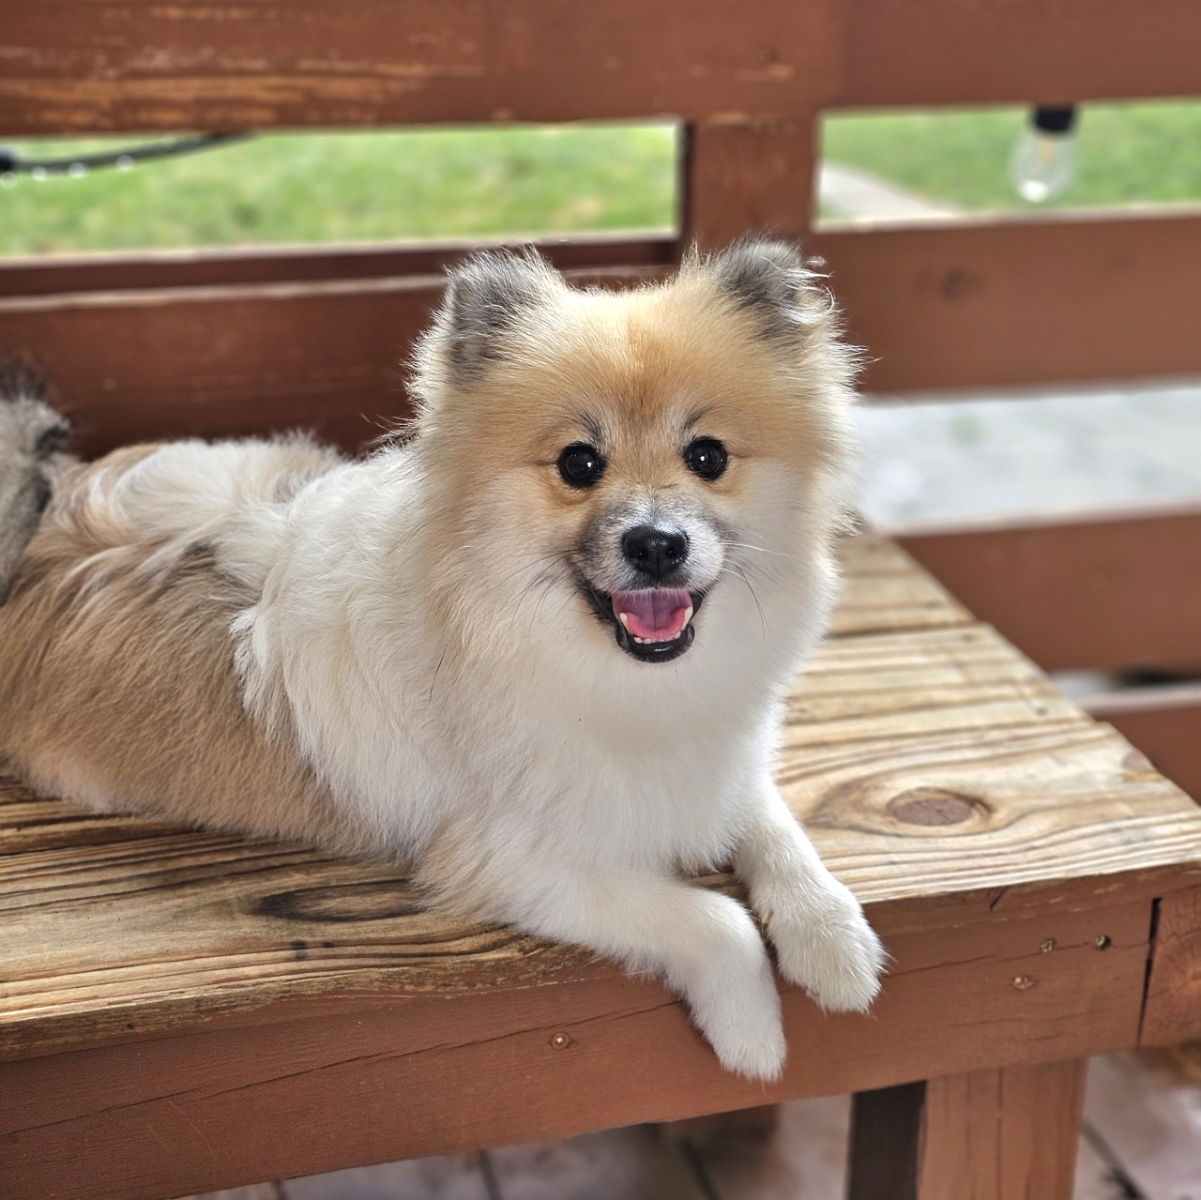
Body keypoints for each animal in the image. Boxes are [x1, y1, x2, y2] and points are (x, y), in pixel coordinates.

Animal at [0, 239, 883, 1085]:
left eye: (706, 457)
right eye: (579, 464)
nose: (657, 543)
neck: (619, 677)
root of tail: (42, 512)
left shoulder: (719, 763)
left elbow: (775, 828)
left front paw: (834, 942)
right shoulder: (512, 863)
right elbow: (718, 920)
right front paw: (751, 1034)